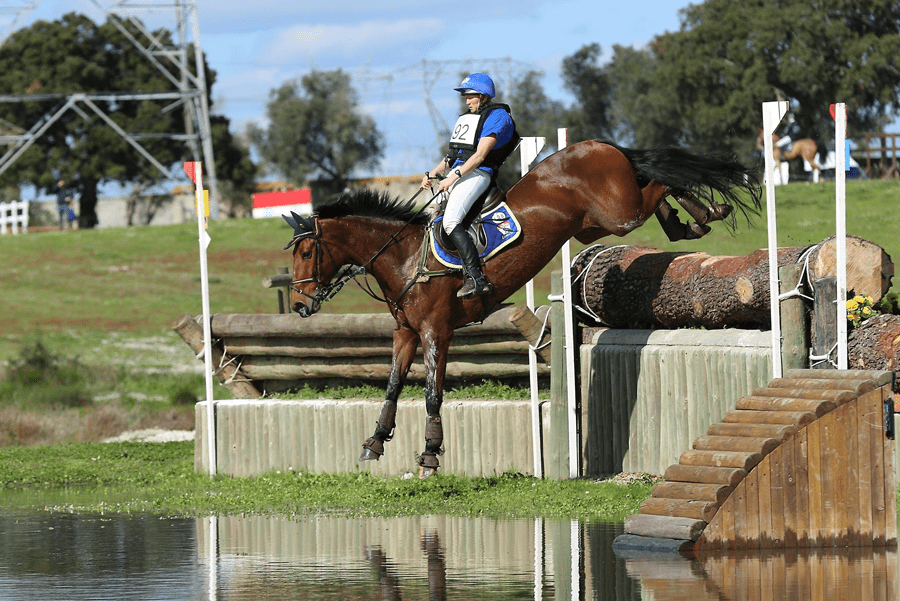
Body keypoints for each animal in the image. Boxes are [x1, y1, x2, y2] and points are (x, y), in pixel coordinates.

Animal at [284, 139, 761, 478]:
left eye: (307, 252)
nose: (300, 305)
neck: (402, 259)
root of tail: (600, 143)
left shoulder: (437, 332)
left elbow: (433, 394)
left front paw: (430, 456)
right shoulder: (405, 333)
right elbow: (392, 388)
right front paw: (375, 442)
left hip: (618, 214)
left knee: (659, 185)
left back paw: (704, 211)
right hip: (593, 226)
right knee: (660, 191)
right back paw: (695, 219)